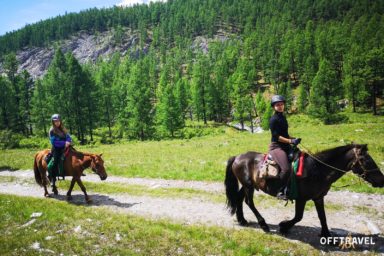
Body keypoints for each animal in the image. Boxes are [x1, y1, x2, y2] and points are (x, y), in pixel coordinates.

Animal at [225, 144, 384, 236]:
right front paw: (283, 227)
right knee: (249, 202)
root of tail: (238, 157)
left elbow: (322, 216)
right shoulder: (301, 198)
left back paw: (242, 220)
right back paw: (263, 224)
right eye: (366, 160)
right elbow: (298, 216)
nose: (381, 180)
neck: (317, 169)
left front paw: (326, 234)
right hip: (248, 186)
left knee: (239, 198)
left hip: (247, 185)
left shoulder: (319, 197)